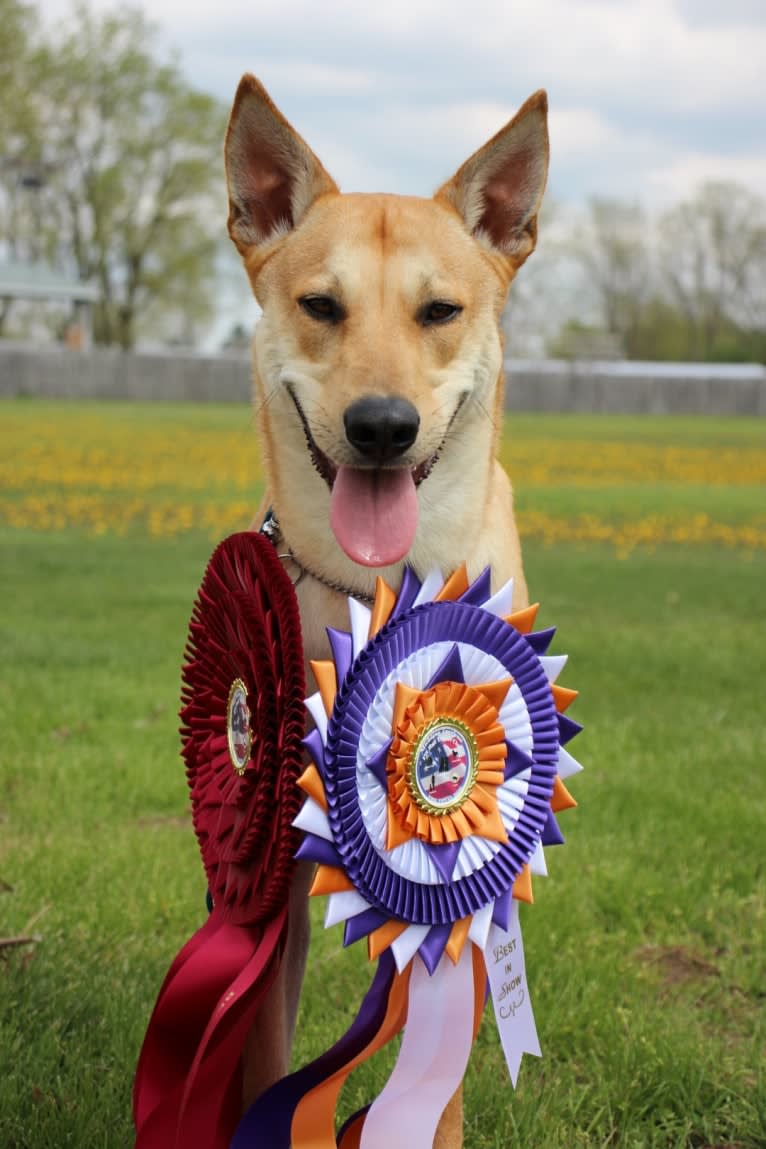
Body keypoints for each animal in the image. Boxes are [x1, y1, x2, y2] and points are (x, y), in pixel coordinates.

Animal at [225, 76, 548, 1144]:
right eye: (321, 305)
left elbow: (436, 1086)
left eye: (439, 309)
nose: (380, 426)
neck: (385, 589)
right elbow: (263, 1052)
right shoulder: (272, 874)